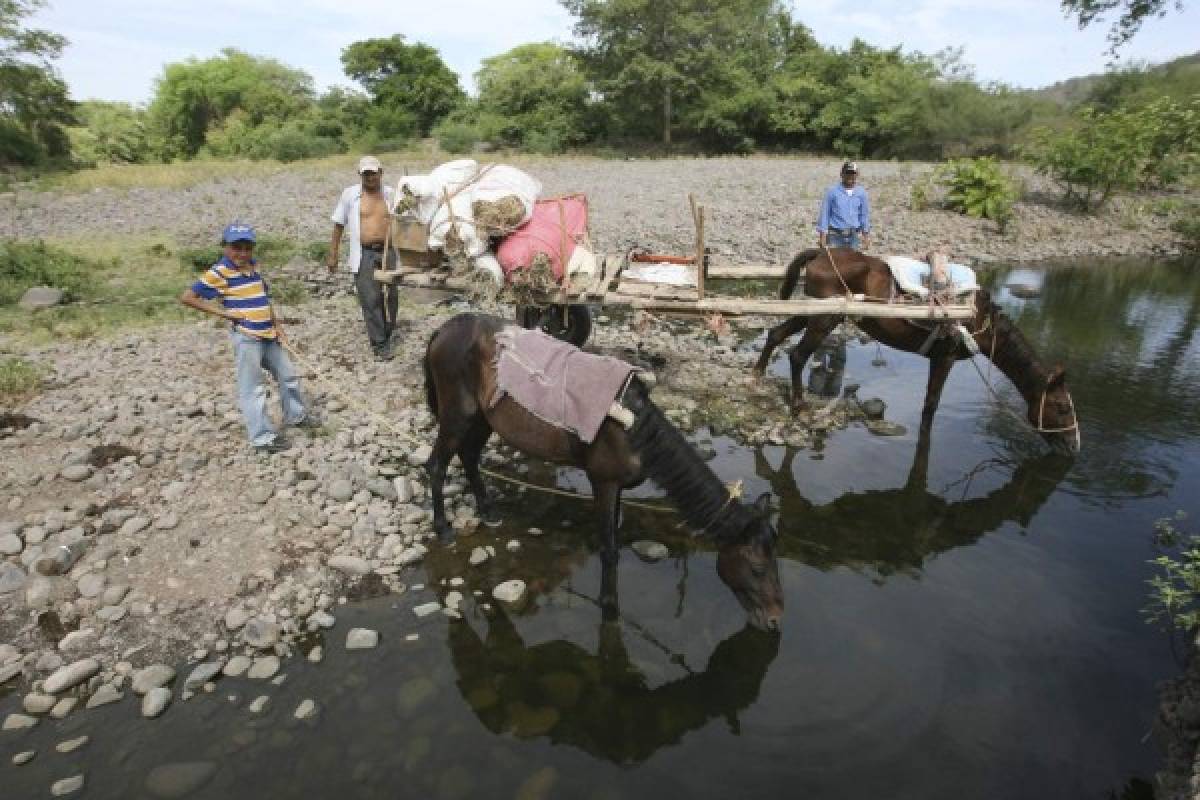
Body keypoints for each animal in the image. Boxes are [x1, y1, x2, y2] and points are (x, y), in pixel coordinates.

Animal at [424, 311, 787, 633]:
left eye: (775, 562)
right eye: (756, 568)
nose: (774, 620)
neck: (632, 430)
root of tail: (445, 328)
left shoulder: (619, 489)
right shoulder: (604, 482)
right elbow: (609, 550)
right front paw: (609, 607)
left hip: (483, 417)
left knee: (469, 456)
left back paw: (488, 512)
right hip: (457, 415)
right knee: (437, 465)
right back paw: (442, 528)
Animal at [753, 247, 1084, 453]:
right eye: (1062, 407)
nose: (1073, 446)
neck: (981, 321)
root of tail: (821, 252)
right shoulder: (944, 357)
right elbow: (930, 406)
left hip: (812, 312)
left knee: (776, 333)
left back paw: (757, 374)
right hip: (824, 317)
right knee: (798, 354)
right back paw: (798, 406)